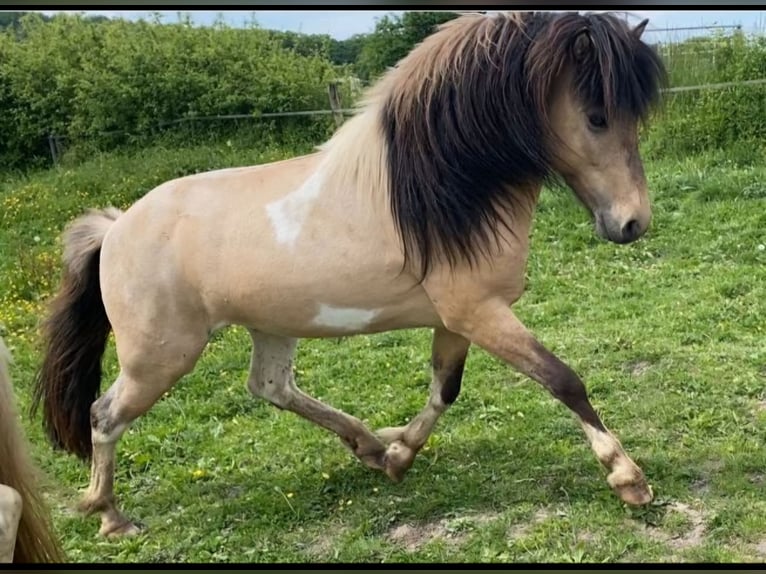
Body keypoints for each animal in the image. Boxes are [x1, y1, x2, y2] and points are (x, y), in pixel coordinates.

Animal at [31, 11, 667, 538]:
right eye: (597, 117)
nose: (632, 222)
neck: (439, 194)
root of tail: (116, 227)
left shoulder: (459, 318)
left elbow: (445, 389)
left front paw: (399, 456)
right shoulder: (480, 313)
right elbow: (563, 380)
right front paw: (628, 479)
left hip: (270, 327)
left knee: (270, 387)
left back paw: (367, 445)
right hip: (160, 357)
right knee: (104, 415)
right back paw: (110, 516)